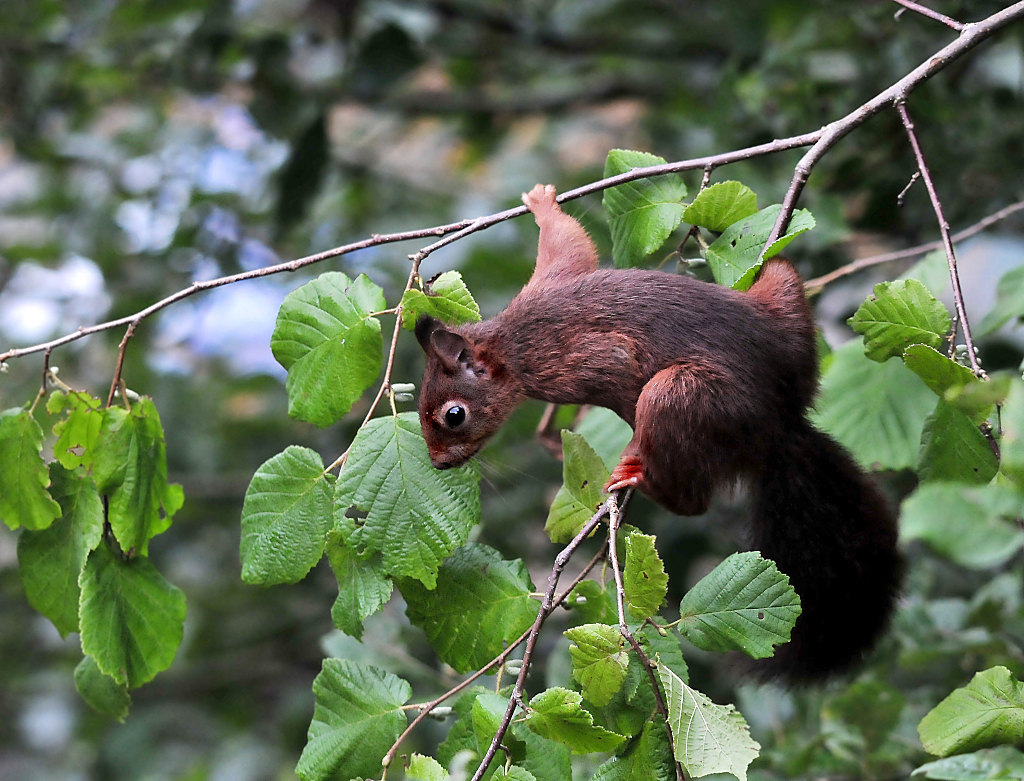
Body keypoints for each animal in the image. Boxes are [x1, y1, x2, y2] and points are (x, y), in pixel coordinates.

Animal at [415, 182, 905, 679]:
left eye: (454, 415)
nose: (438, 463)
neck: (510, 345)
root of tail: (778, 430)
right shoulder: (552, 280)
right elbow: (569, 244)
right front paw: (542, 203)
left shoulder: (588, 360)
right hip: (788, 313)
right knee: (783, 281)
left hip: (677, 395)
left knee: (692, 500)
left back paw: (643, 477)